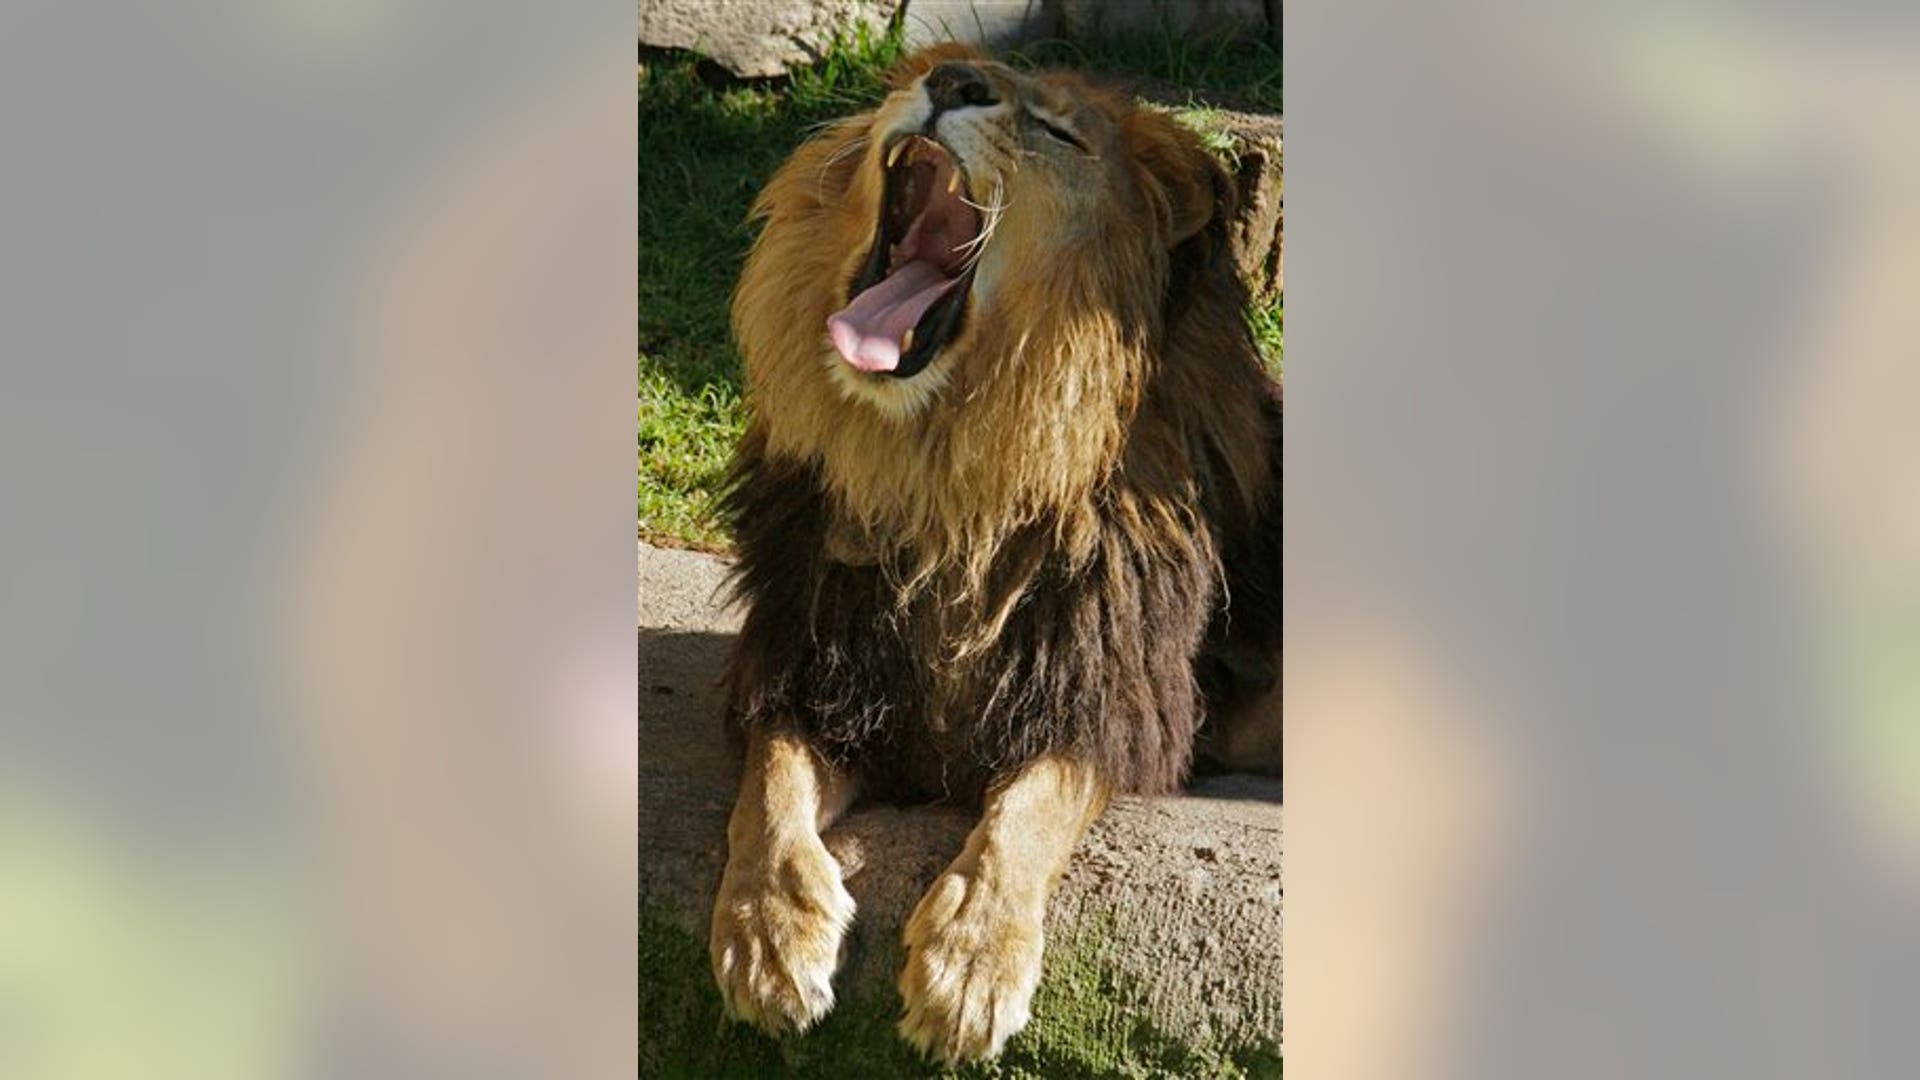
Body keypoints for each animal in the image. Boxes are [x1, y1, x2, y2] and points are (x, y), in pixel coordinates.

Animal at [709, 43, 1282, 1063]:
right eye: (936, 69)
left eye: (1056, 131)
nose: (954, 84)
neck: (946, 482)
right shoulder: (814, 671)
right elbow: (767, 788)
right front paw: (768, 934)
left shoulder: (1105, 699)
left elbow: (1030, 809)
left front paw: (971, 966)